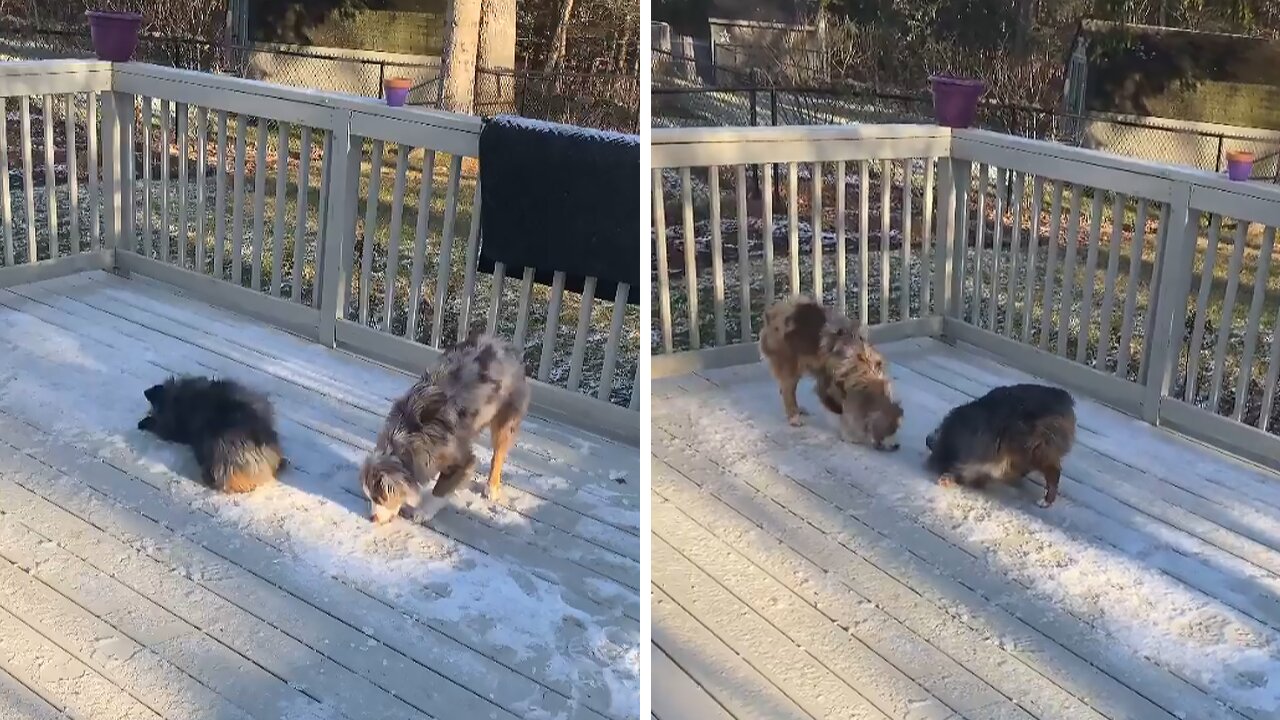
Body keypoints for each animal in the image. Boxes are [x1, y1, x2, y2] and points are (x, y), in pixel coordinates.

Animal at [358, 330, 527, 520]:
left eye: (380, 498)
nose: (371, 518)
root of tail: (505, 344)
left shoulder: (459, 457)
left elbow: (441, 488)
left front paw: (423, 512)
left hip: (506, 417)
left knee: (498, 454)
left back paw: (491, 487)